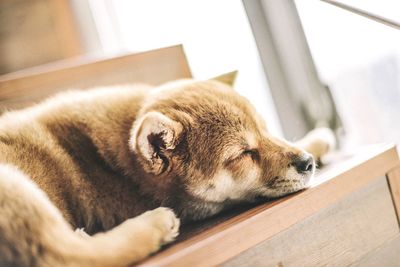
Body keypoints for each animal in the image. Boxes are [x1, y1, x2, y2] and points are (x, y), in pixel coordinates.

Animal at [0, 77, 332, 266]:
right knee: (63, 255)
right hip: (15, 185)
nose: (306, 163)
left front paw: (314, 141)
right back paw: (153, 225)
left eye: (266, 130)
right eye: (243, 154)